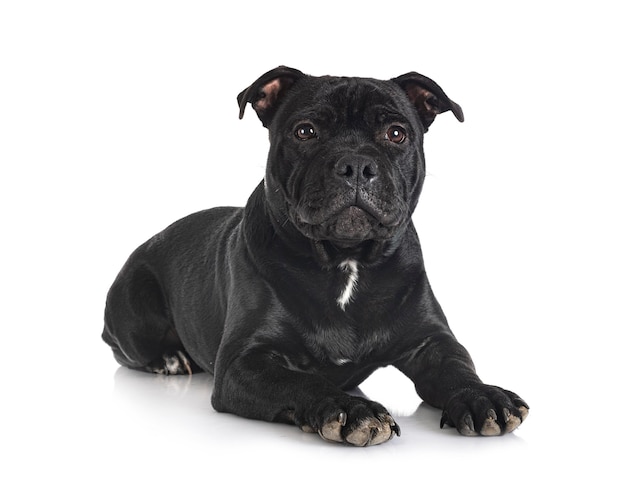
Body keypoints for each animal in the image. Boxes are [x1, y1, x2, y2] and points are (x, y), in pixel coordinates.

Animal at [102, 65, 528, 444]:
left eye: (396, 134)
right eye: (305, 131)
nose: (356, 163)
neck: (346, 260)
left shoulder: (432, 341)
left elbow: (458, 367)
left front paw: (482, 396)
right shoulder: (246, 361)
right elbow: (301, 380)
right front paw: (353, 410)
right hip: (137, 315)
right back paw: (169, 358)